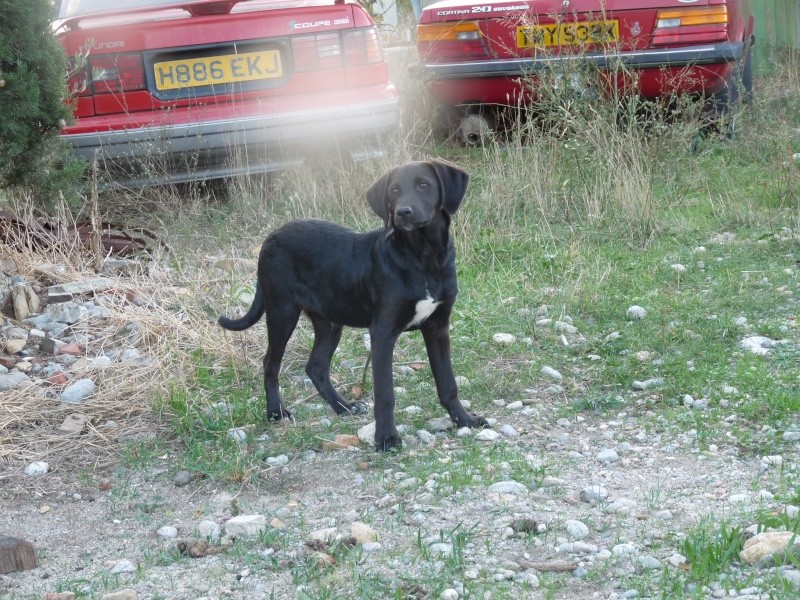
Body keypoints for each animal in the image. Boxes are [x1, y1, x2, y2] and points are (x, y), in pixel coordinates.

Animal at [216, 159, 488, 450]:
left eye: (424, 185)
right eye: (394, 191)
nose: (403, 212)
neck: (424, 258)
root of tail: (270, 238)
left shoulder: (438, 328)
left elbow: (448, 383)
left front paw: (465, 420)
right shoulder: (383, 332)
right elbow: (385, 393)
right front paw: (386, 438)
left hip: (329, 321)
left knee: (316, 367)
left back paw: (343, 407)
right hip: (282, 311)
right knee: (270, 363)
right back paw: (276, 412)